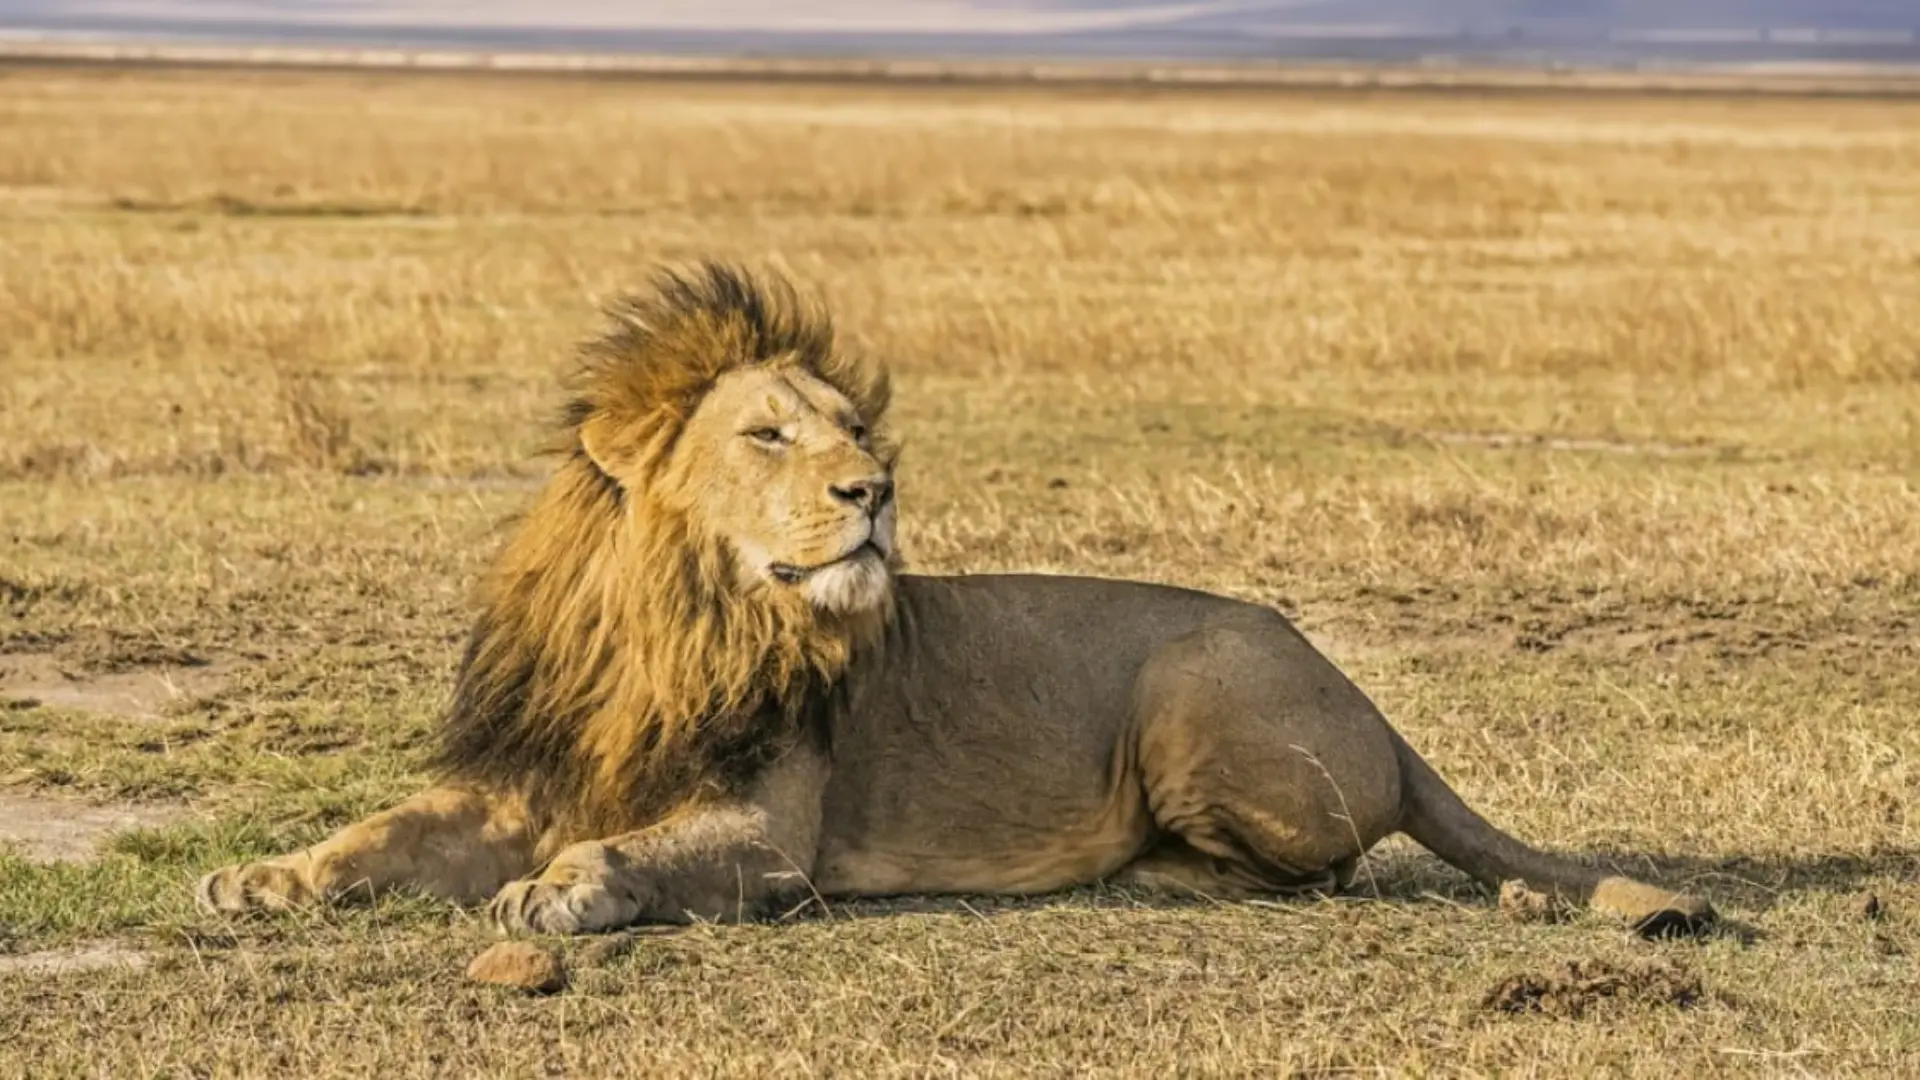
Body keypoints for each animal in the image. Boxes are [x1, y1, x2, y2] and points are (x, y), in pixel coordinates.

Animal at [202, 261, 1720, 933]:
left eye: (851, 429)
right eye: (769, 434)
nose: (873, 488)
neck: (678, 624)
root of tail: (1380, 709)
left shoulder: (772, 836)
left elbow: (638, 854)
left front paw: (561, 895)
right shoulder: (528, 776)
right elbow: (380, 833)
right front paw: (263, 875)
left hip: (1195, 683)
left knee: (1325, 865)